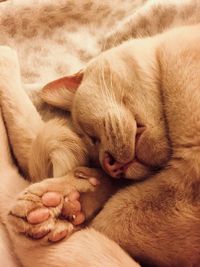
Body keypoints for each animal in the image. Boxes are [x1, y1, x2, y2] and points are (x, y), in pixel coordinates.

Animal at [40, 24, 200, 266]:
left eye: (92, 136)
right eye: (93, 143)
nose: (110, 165)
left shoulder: (188, 172)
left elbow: (108, 220)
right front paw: (74, 202)